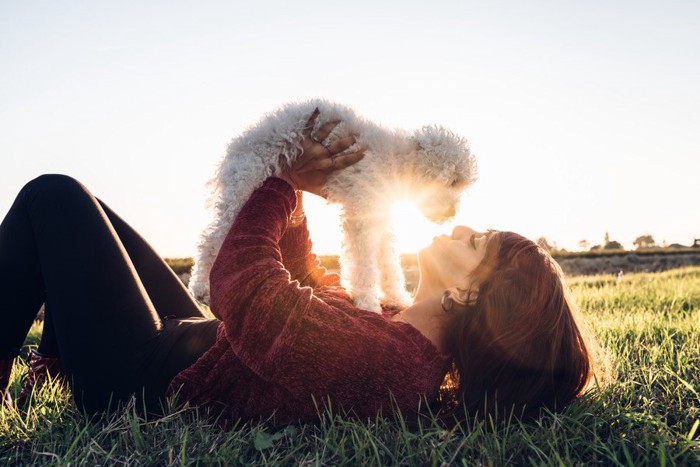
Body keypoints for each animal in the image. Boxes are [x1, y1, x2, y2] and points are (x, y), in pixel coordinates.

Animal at [189, 98, 478, 312]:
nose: (451, 213)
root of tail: (237, 146)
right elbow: (363, 264)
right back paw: (202, 287)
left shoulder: (381, 216)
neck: (396, 160)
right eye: (453, 181)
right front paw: (368, 304)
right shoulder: (361, 216)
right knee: (212, 240)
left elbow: (388, 262)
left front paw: (395, 298)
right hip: (246, 182)